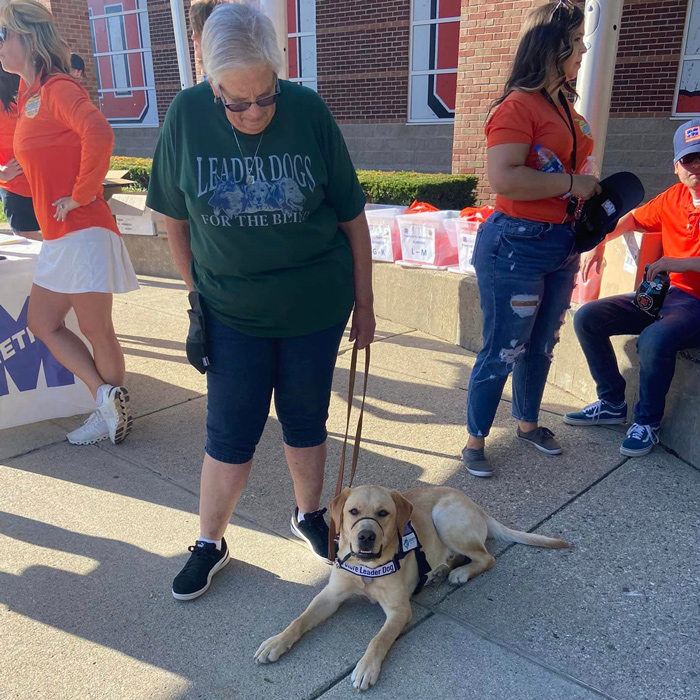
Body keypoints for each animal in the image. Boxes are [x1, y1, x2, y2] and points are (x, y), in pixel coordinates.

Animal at [258, 486, 568, 688]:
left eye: (383, 513)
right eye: (353, 511)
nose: (366, 536)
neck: (369, 567)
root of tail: (476, 505)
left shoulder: (400, 610)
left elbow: (379, 639)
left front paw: (366, 667)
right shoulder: (331, 596)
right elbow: (299, 620)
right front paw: (276, 641)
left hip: (444, 516)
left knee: (486, 557)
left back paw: (460, 573)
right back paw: (439, 571)